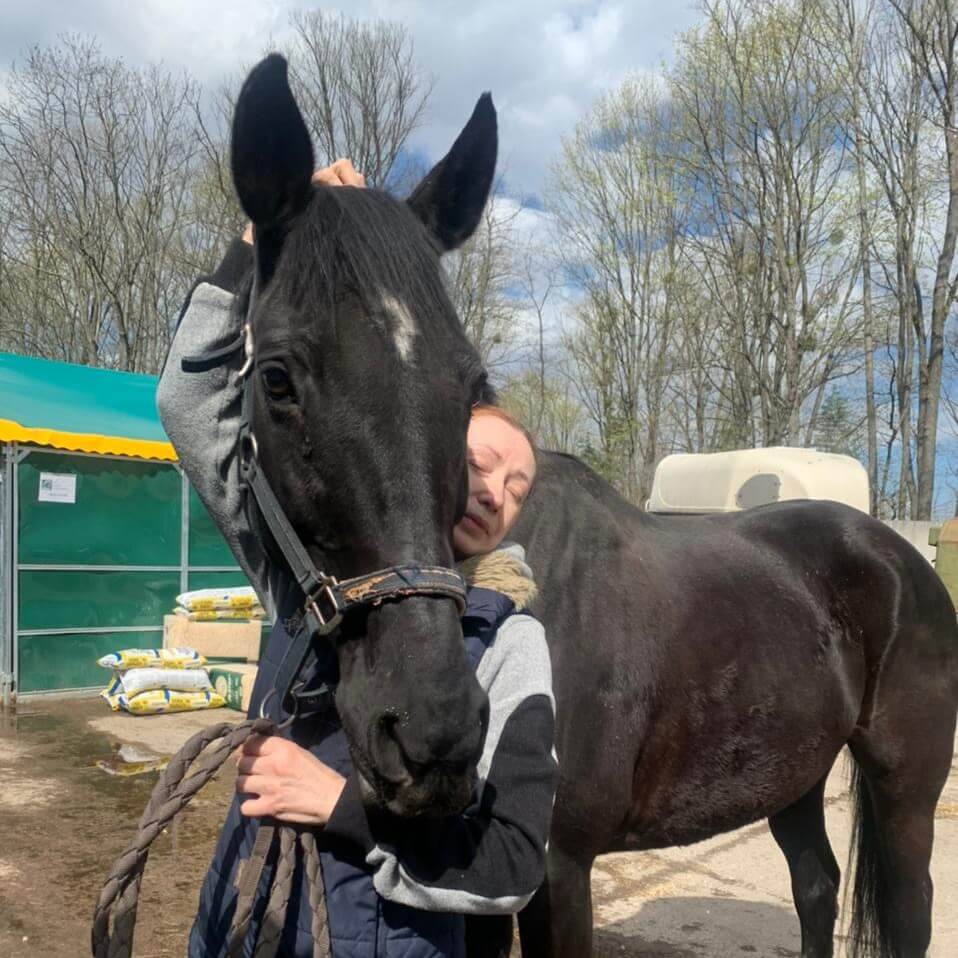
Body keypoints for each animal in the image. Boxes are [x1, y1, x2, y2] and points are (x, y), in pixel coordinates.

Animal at [487, 450, 958, 958]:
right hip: (793, 774)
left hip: (904, 786)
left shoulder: (560, 861)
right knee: (817, 888)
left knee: (910, 910)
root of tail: (906, 558)